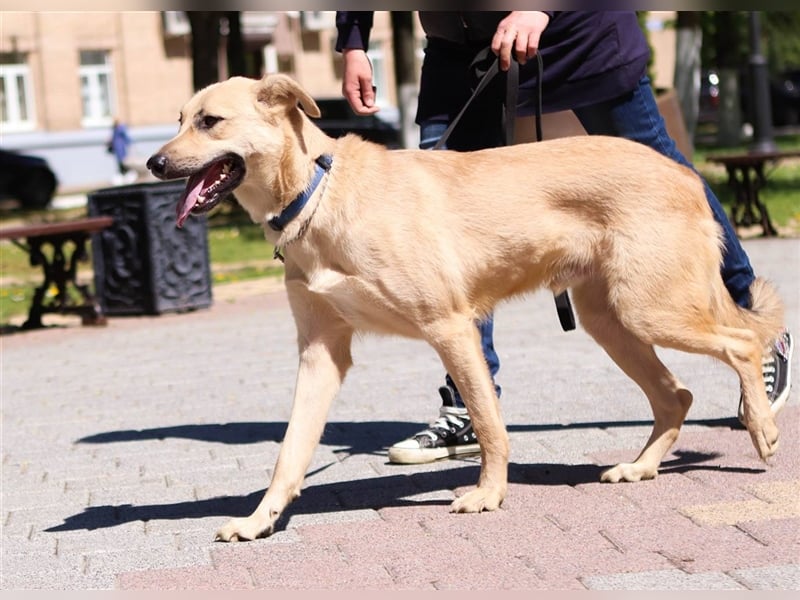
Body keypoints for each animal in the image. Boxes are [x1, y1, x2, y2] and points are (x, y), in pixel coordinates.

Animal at [147, 72, 784, 540]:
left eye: (209, 121)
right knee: (676, 395)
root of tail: (685, 172)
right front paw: (260, 519)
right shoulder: (320, 354)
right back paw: (642, 465)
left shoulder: (451, 328)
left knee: (743, 341)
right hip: (611, 320)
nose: (153, 164)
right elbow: (289, 452)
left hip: (652, 308)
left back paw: (761, 426)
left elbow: (488, 421)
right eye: (177, 120)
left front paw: (489, 493)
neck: (318, 192)